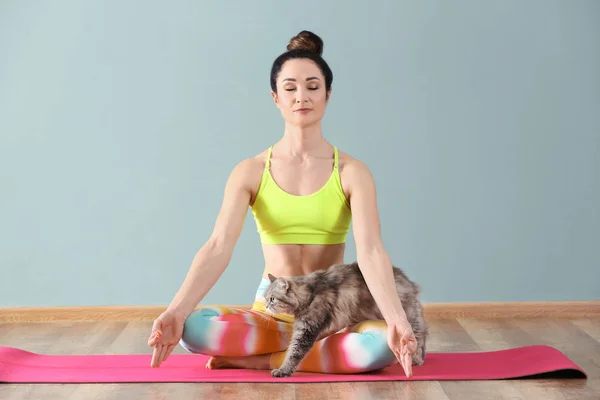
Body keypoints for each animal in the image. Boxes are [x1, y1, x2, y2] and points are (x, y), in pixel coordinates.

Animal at [264, 262, 426, 378]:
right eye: (266, 299)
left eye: (272, 299)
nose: (266, 306)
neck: (310, 292)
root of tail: (409, 282)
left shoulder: (307, 329)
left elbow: (293, 353)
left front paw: (283, 370)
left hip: (407, 319)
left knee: (419, 336)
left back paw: (416, 359)